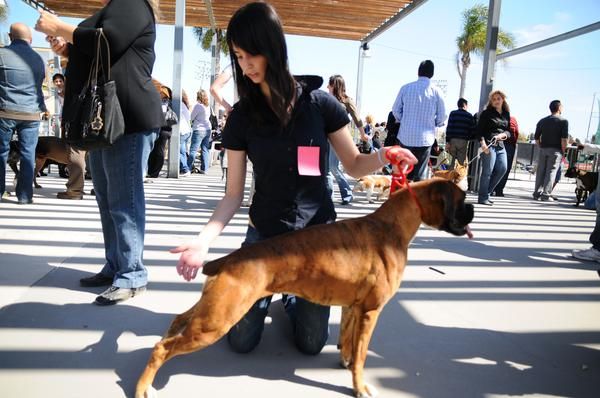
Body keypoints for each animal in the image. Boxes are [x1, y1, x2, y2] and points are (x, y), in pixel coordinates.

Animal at [135, 180, 474, 398]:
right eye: (461, 198)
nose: (472, 207)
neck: (392, 226)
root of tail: (226, 260)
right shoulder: (371, 312)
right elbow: (362, 355)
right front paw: (359, 387)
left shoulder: (353, 308)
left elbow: (348, 342)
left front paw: (344, 362)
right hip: (216, 321)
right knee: (162, 349)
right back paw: (142, 387)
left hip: (212, 308)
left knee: (178, 319)